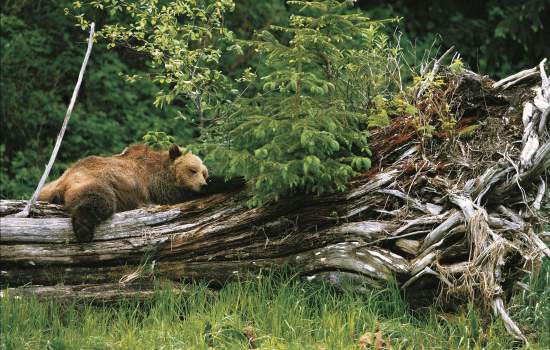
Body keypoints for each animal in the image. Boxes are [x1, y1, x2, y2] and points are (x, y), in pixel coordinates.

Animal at [37, 144, 209, 242]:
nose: (203, 185)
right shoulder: (154, 183)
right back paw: (83, 229)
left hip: (46, 188)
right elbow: (175, 195)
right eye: (192, 170)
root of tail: (63, 180)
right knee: (98, 198)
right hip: (94, 180)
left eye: (204, 173)